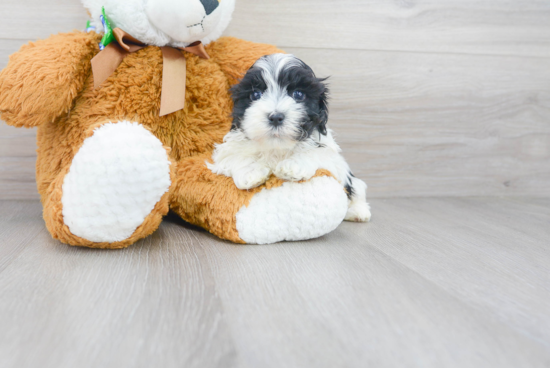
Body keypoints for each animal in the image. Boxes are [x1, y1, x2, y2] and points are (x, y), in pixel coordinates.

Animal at [209, 53, 374, 221]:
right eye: (255, 95)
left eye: (298, 94)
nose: (276, 117)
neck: (277, 147)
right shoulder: (227, 151)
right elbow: (235, 156)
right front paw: (251, 172)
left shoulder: (332, 157)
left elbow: (317, 153)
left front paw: (293, 166)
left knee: (358, 189)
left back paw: (358, 212)